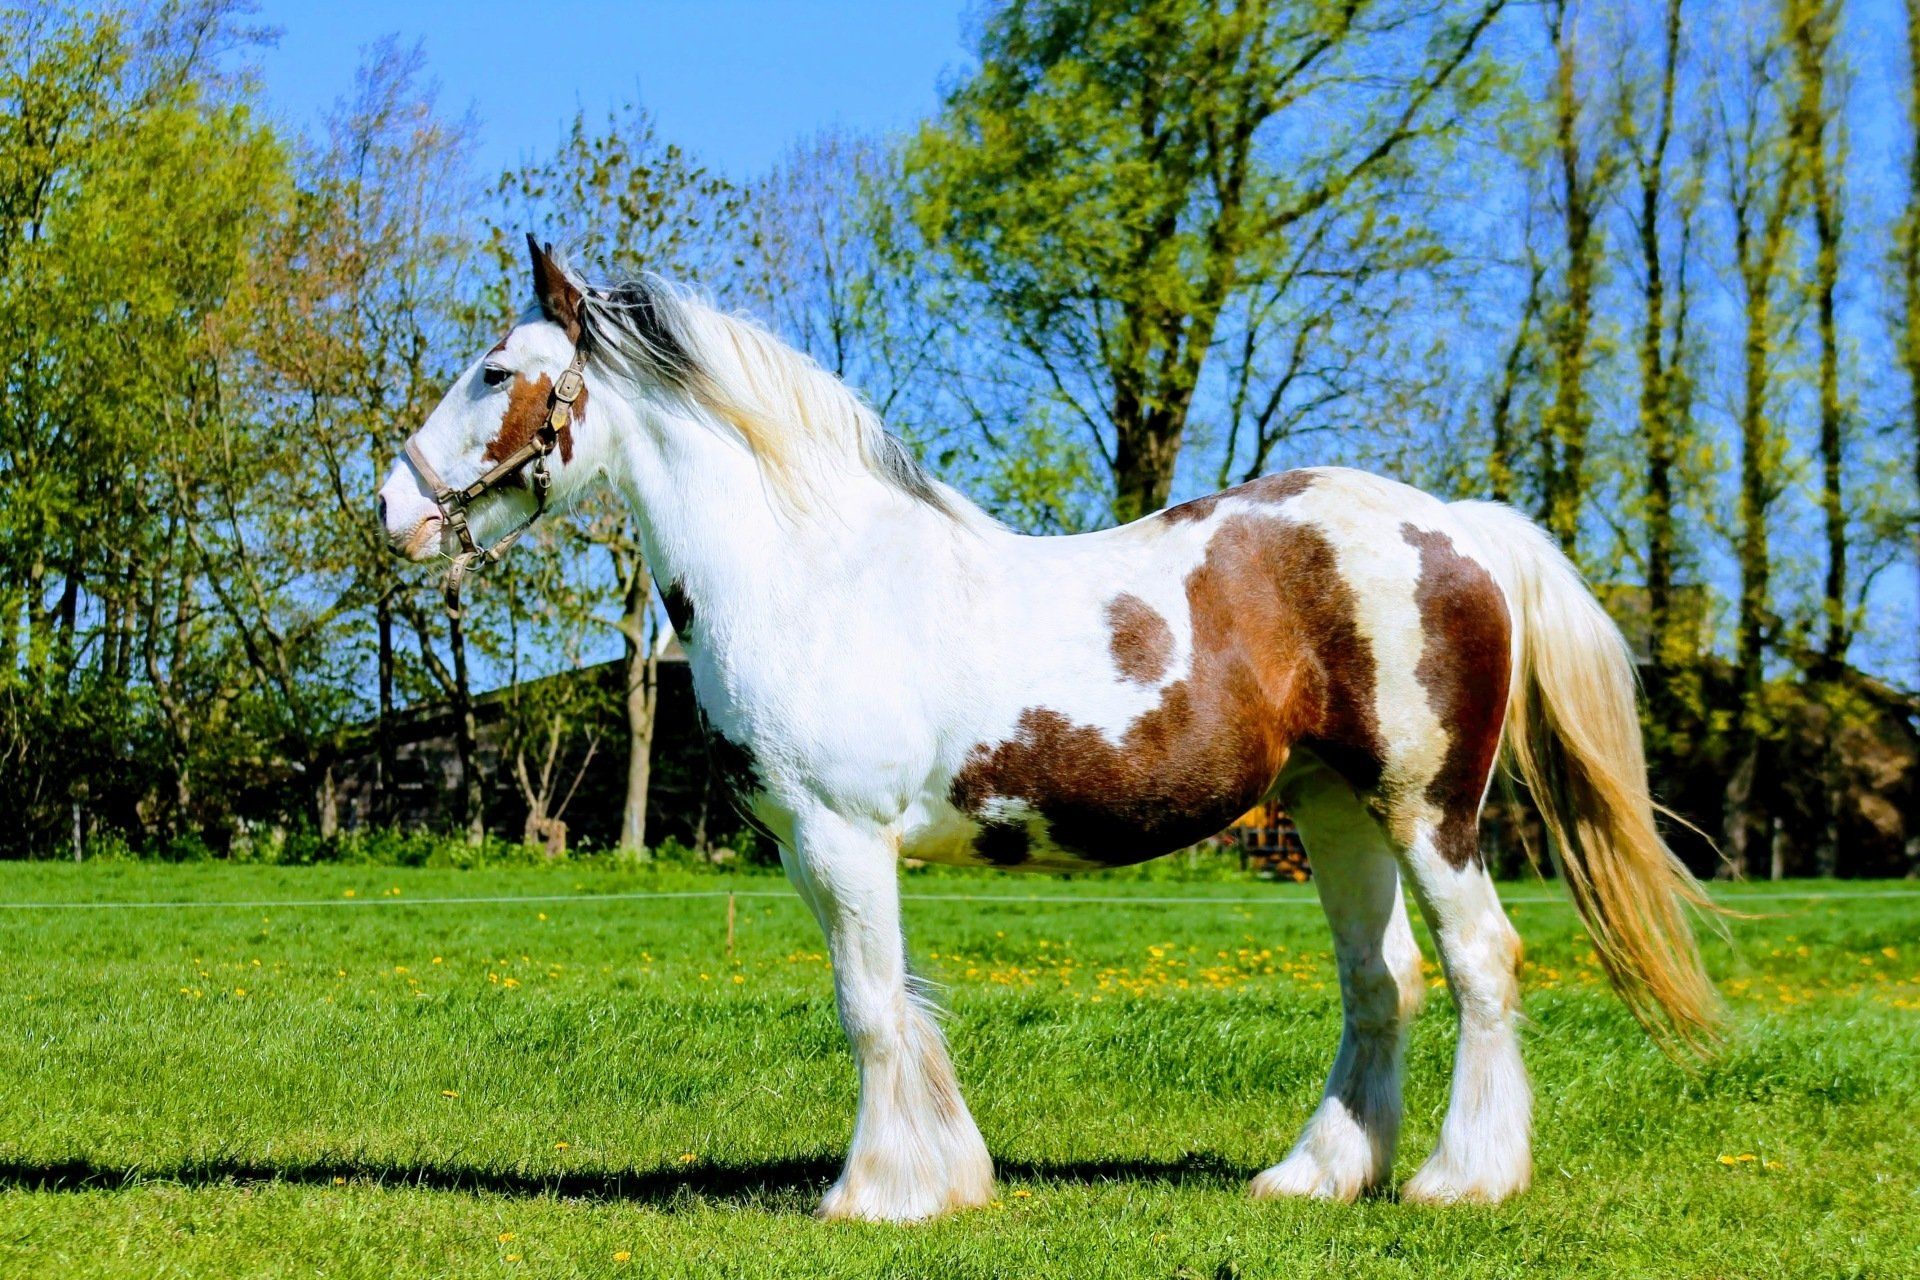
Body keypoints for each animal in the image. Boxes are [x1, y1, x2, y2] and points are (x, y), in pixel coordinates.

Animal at [378, 236, 1720, 1223]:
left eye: (494, 370)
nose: (392, 505)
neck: (813, 570)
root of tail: (1456, 525)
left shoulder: (839, 836)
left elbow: (870, 1006)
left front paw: (876, 1193)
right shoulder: (820, 849)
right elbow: (901, 998)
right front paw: (948, 1175)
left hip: (1426, 806)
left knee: (1482, 959)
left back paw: (1462, 1178)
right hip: (1335, 810)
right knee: (1380, 979)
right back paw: (1315, 1175)